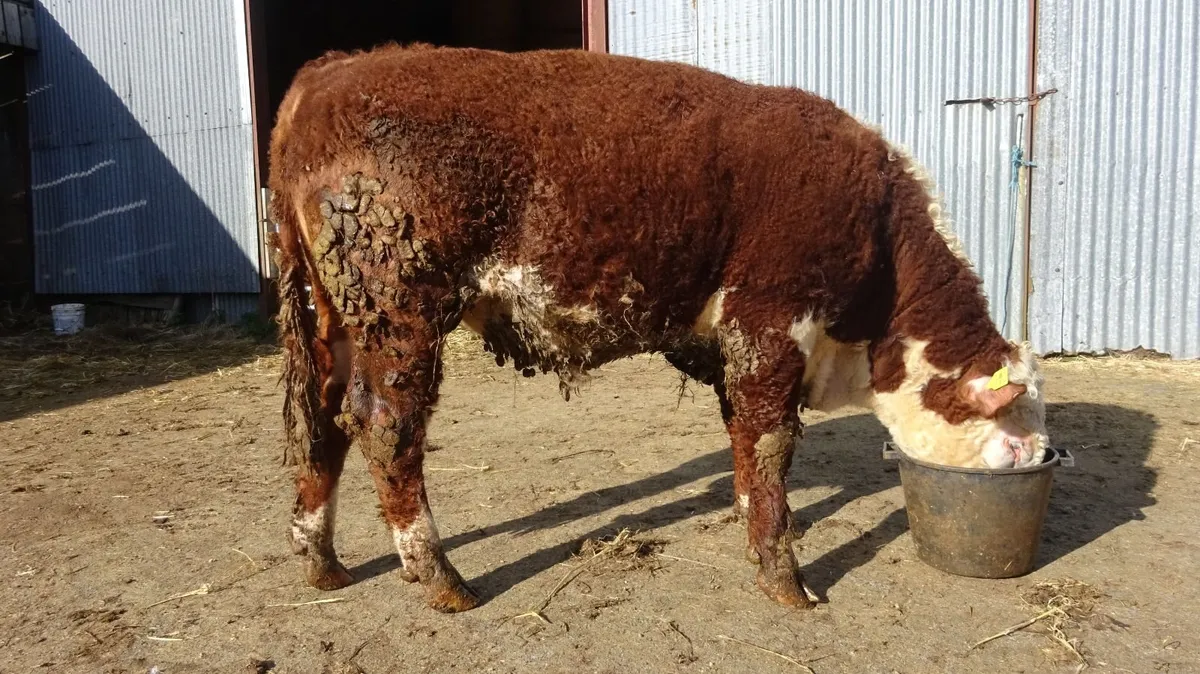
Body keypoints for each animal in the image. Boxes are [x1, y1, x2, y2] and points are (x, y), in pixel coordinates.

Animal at [268, 43, 1049, 613]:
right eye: (1016, 445)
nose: (1038, 458)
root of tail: (330, 70)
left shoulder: (733, 342)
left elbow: (745, 439)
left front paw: (760, 523)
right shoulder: (772, 323)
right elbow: (772, 442)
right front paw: (784, 576)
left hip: (337, 318)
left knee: (325, 422)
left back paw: (322, 561)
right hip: (402, 310)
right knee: (385, 427)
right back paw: (441, 579)